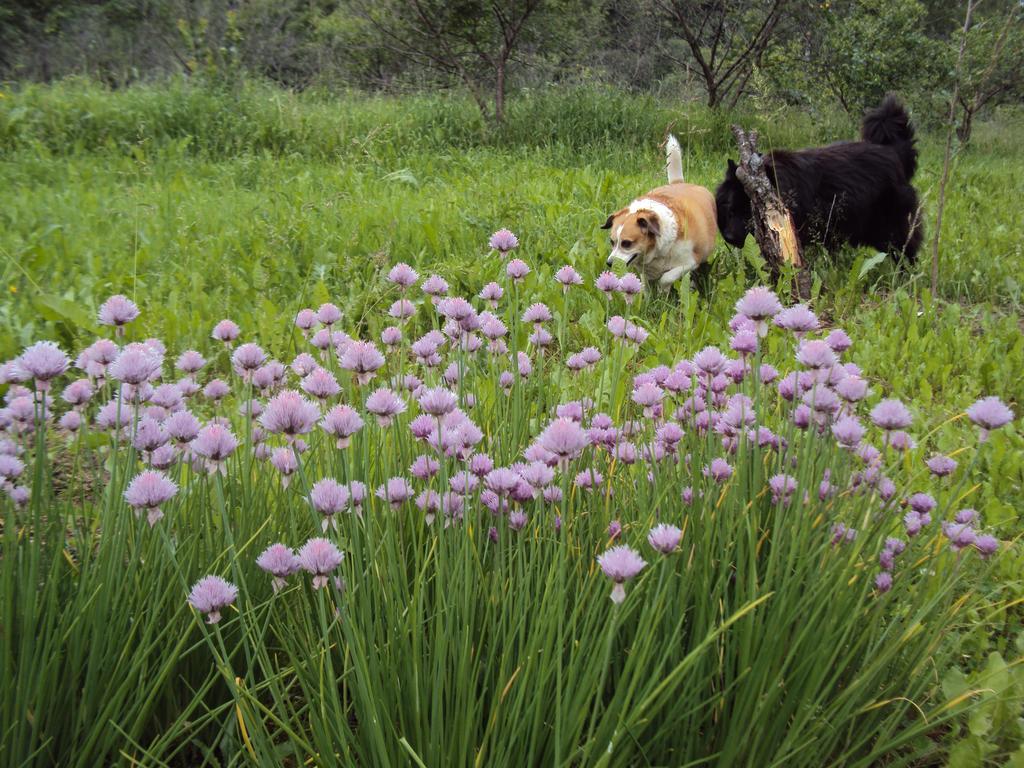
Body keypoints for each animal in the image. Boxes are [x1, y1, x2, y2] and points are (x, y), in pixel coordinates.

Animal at [602, 135, 716, 288]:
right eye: (612, 242)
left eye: (626, 243)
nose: (610, 263)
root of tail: (678, 183)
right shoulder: (646, 272)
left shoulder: (690, 262)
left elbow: (666, 278)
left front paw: (663, 288)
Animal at [716, 96, 925, 264]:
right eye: (730, 209)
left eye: (749, 214)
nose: (729, 237)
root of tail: (894, 152)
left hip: (891, 227)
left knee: (905, 251)